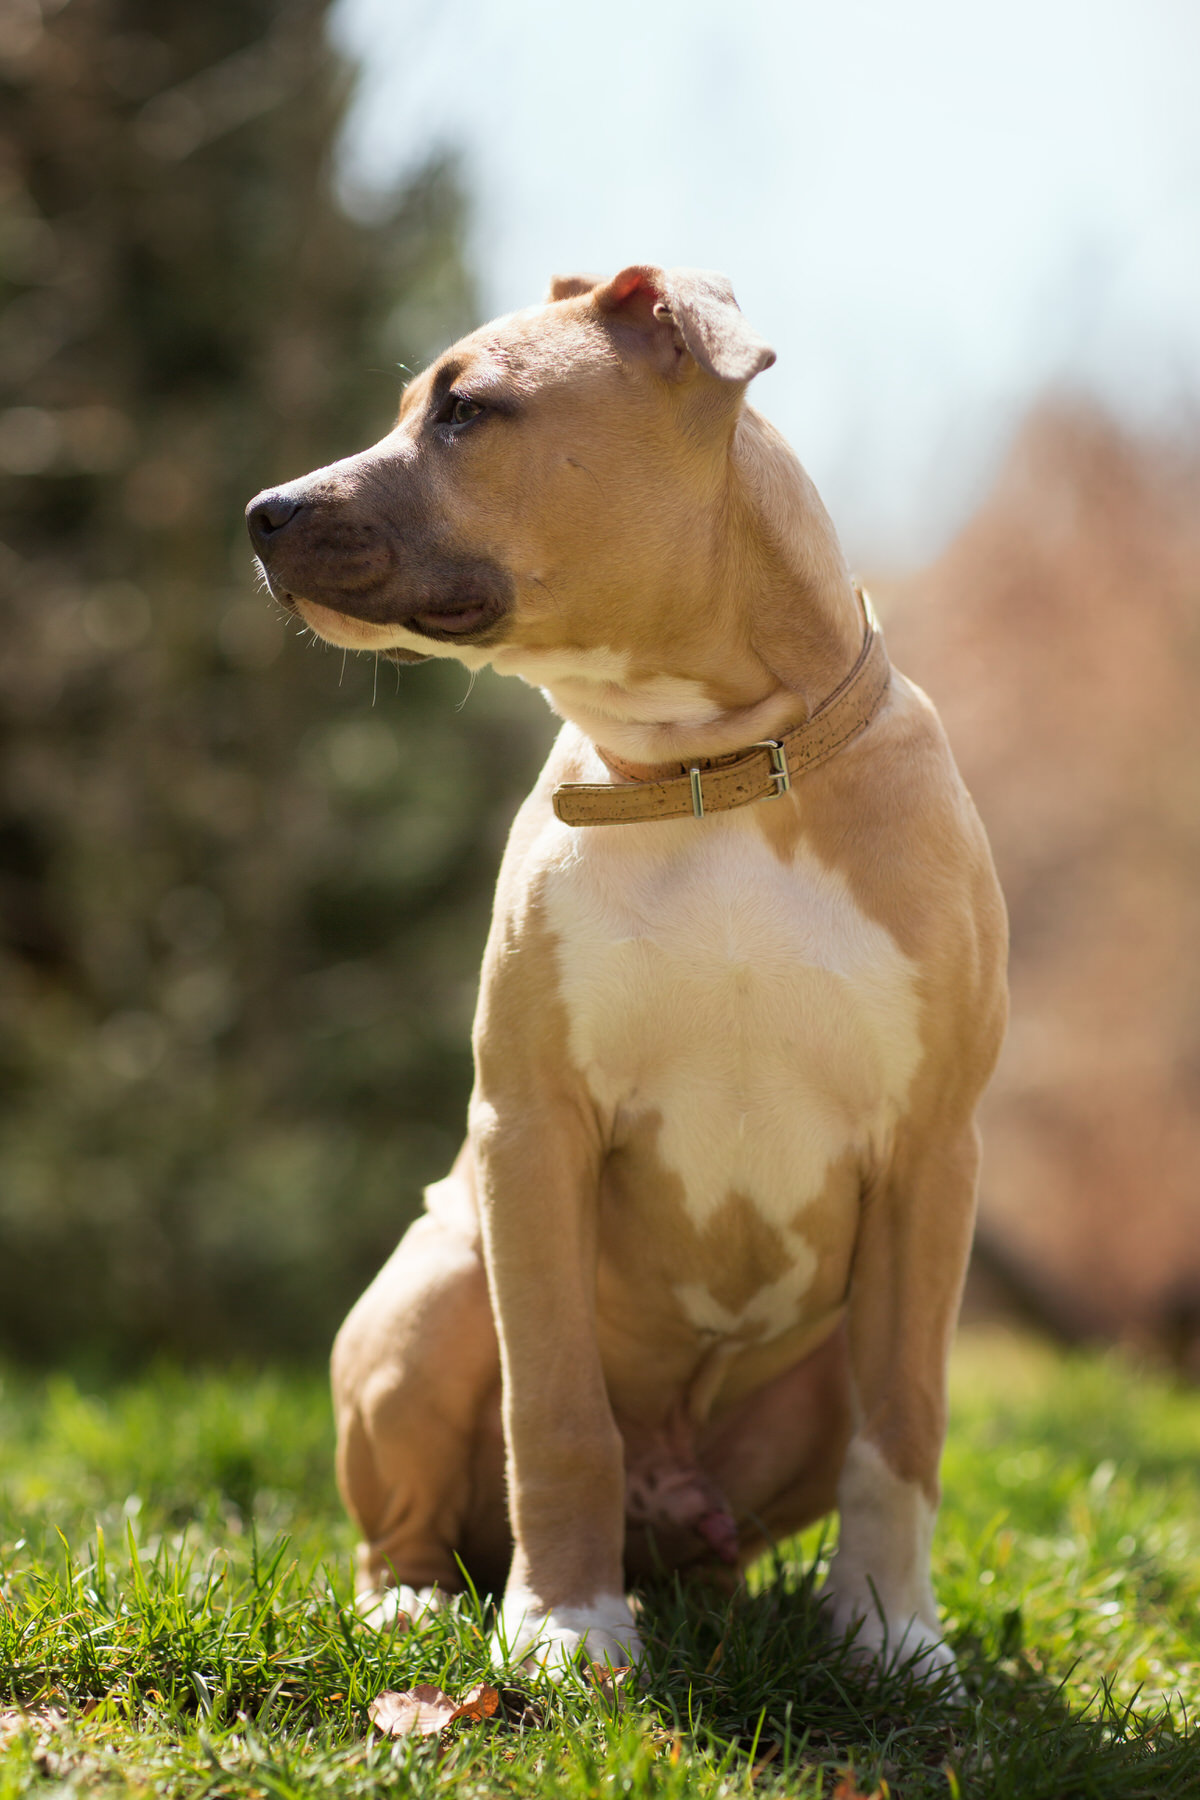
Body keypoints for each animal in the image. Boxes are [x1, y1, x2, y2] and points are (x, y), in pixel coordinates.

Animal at [248, 266, 1007, 1684]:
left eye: (468, 413)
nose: (263, 514)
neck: (710, 771)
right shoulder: (532, 1127)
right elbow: (554, 1411)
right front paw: (561, 1625)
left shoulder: (932, 1153)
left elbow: (907, 1425)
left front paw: (890, 1632)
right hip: (437, 1284)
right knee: (409, 1522)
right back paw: (423, 1602)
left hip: (817, 1361)